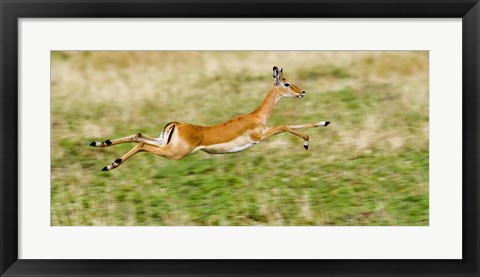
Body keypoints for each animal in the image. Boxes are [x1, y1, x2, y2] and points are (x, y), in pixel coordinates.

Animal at [90, 67, 330, 170]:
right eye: (287, 83)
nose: (302, 92)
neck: (256, 116)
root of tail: (177, 125)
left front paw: (324, 122)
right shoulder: (260, 135)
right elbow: (284, 124)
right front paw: (307, 142)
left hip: (163, 142)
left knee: (138, 135)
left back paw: (100, 146)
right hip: (174, 153)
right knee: (141, 145)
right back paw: (110, 165)